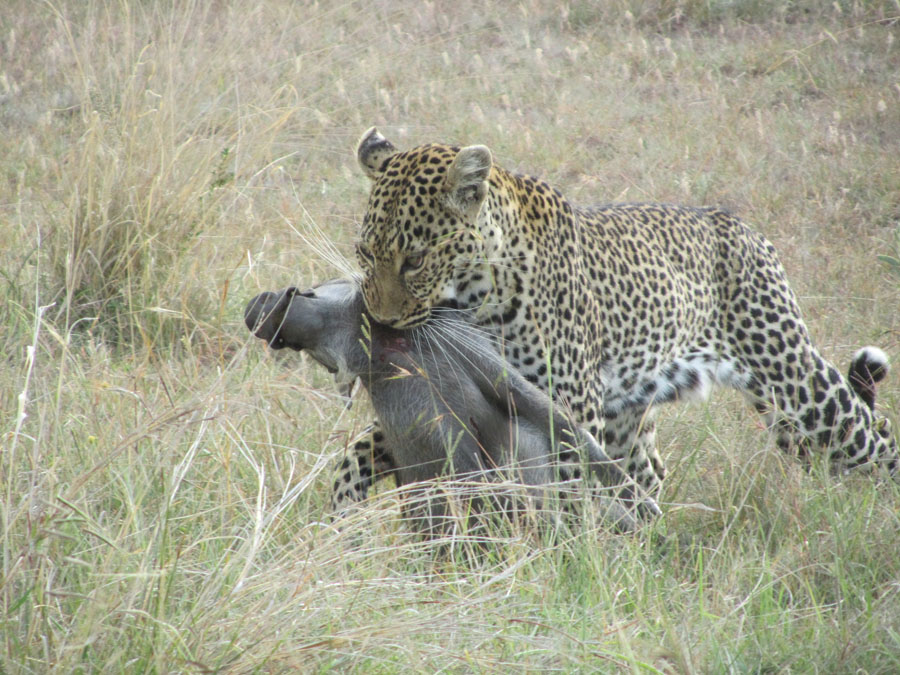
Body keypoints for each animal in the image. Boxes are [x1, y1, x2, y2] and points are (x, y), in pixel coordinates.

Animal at [326, 127, 896, 516]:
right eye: (364, 252)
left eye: (415, 260)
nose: (381, 322)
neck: (476, 297)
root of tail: (744, 229)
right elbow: (357, 455)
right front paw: (337, 519)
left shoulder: (567, 407)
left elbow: (566, 495)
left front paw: (557, 568)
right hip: (635, 412)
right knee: (648, 477)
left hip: (796, 387)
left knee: (875, 434)